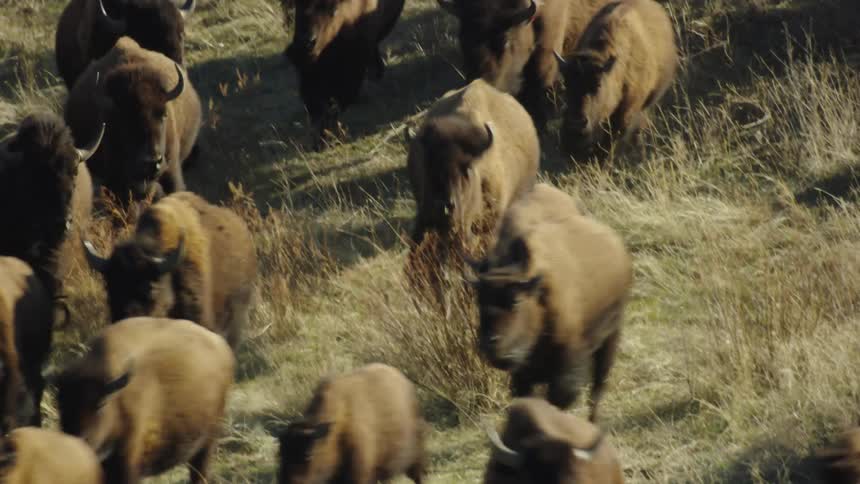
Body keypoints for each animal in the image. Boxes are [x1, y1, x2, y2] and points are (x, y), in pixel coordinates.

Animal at [55, 317, 234, 484]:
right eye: (60, 403)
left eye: (101, 404)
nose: (76, 444)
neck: (117, 399)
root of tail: (221, 345)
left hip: (207, 443)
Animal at [470, 183, 632, 421]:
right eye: (479, 300)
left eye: (516, 300)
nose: (493, 347)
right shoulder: (523, 375)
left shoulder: (568, 365)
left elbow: (560, 397)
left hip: (611, 335)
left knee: (597, 388)